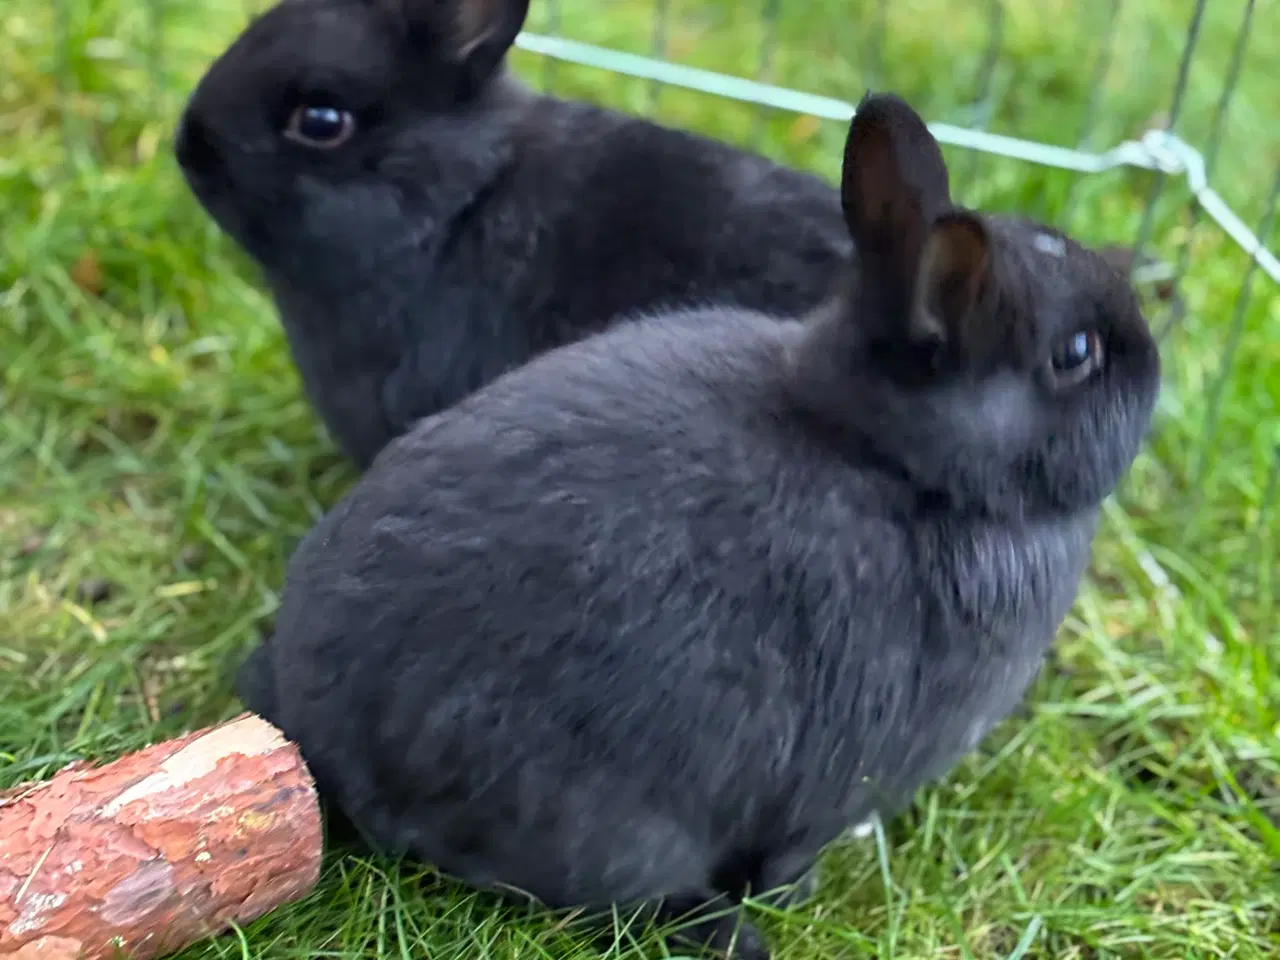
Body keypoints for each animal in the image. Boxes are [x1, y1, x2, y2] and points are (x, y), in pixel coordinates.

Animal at [238, 92, 1162, 960]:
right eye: (1077, 354)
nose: (1155, 372)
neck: (896, 460)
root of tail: (330, 740)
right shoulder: (836, 782)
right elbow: (789, 853)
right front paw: (795, 897)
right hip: (608, 820)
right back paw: (731, 933)